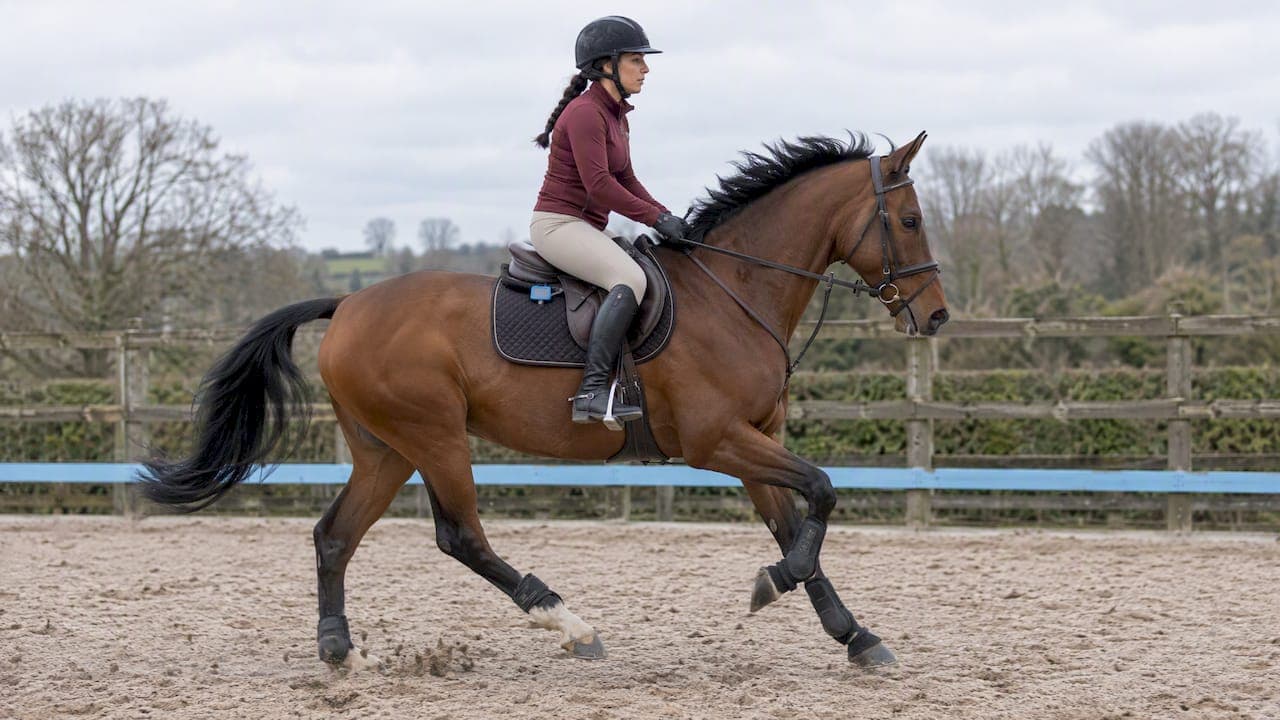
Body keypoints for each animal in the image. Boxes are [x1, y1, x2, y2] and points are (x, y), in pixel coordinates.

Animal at [139, 131, 948, 670]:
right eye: (909, 221)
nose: (936, 317)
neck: (734, 291)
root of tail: (349, 304)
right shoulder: (716, 440)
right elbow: (823, 492)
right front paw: (776, 589)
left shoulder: (753, 442)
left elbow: (796, 526)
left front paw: (855, 636)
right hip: (435, 437)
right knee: (459, 536)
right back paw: (570, 624)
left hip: (385, 449)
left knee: (335, 535)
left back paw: (337, 651)